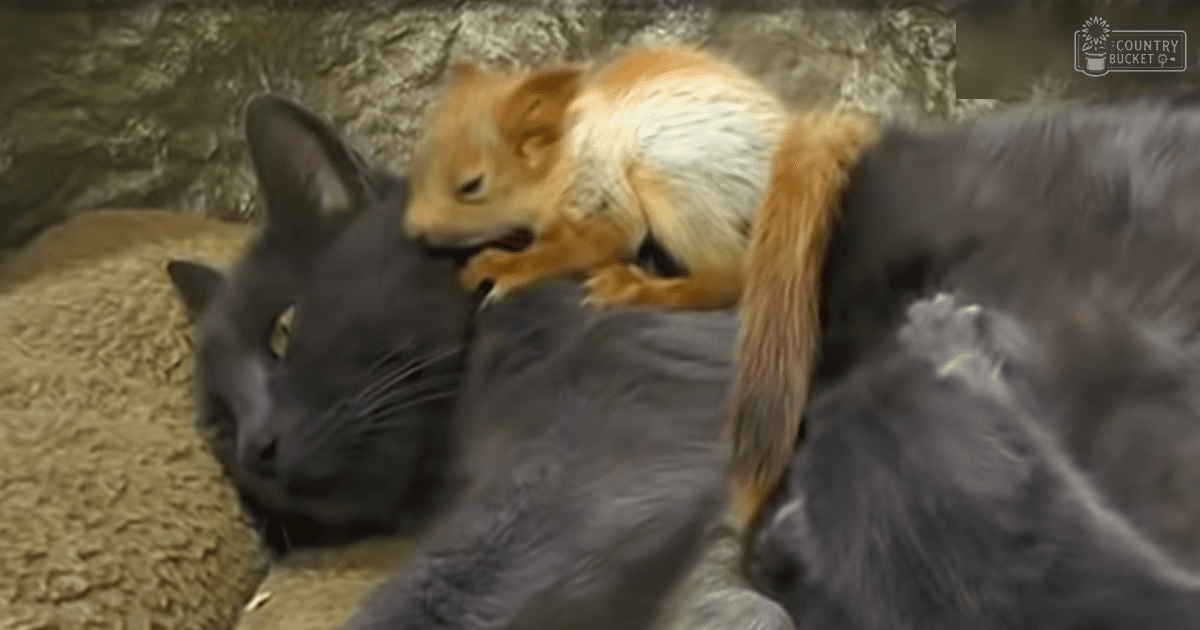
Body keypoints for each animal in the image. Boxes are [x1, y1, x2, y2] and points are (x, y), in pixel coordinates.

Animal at [404, 43, 879, 529]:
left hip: (671, 180)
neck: (562, 156)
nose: (413, 230)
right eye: (417, 164)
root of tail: (787, 146)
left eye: (471, 186)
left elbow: (591, 244)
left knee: (729, 277)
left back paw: (634, 287)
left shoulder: (603, 191)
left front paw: (504, 267)